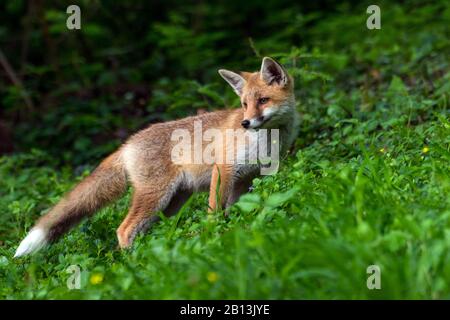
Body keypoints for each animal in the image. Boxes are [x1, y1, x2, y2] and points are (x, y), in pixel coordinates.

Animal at [14, 57, 298, 258]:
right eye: (244, 104)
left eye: (263, 100)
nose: (245, 123)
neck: (266, 142)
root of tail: (129, 142)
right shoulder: (224, 170)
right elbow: (215, 211)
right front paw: (214, 234)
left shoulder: (248, 178)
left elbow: (238, 208)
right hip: (156, 195)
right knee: (124, 229)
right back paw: (132, 263)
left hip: (173, 201)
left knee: (149, 228)